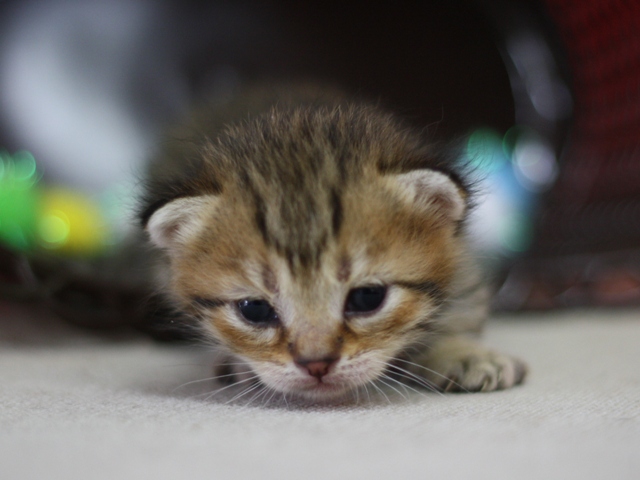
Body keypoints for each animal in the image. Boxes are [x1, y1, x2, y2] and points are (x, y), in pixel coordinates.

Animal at [140, 83, 524, 402]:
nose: (316, 364)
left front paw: (461, 352)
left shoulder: (461, 252)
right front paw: (239, 364)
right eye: (255, 309)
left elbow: (461, 304)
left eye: (368, 297)